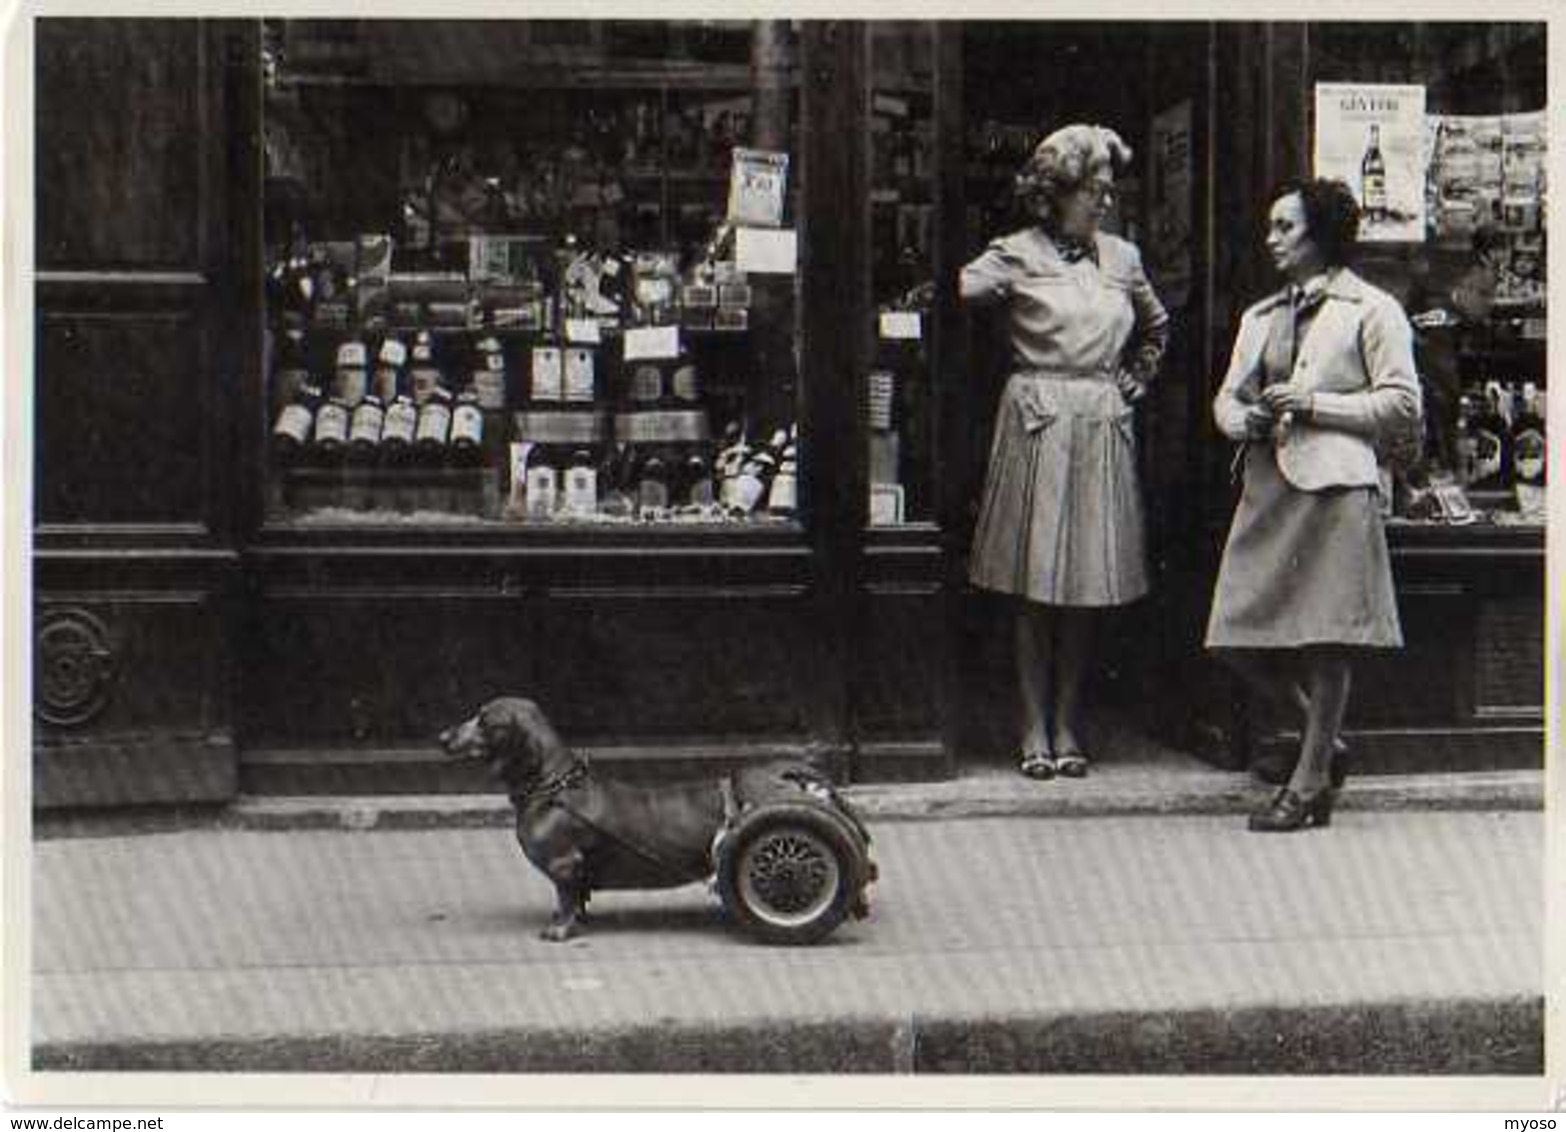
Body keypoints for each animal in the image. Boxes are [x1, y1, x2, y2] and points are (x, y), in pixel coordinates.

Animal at [441, 695, 739, 945]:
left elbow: (566, 899)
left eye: (485, 720)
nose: (442, 737)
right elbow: (576, 901)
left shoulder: (564, 864)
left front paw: (559, 929)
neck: (553, 788)